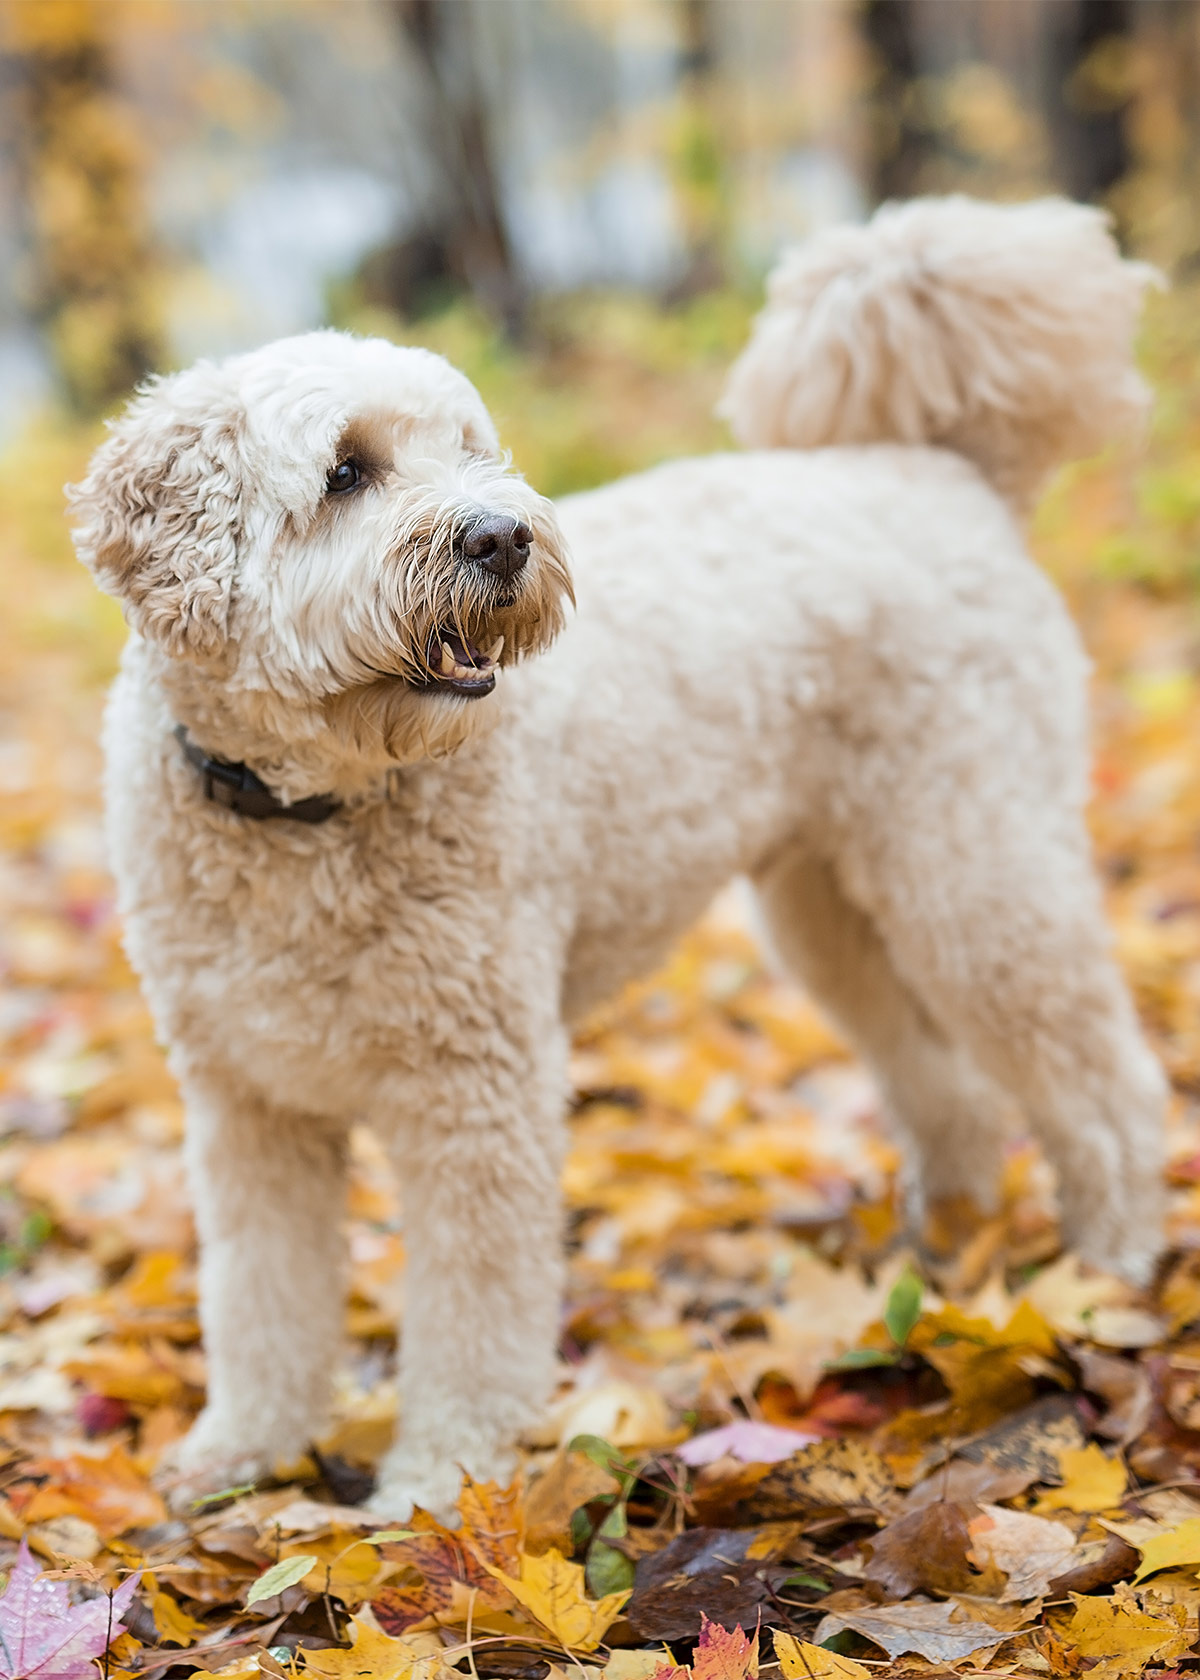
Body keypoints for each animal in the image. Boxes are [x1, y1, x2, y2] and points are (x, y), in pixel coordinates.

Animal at [72, 196, 1156, 1525]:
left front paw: (439, 1487)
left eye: (473, 449)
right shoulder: (246, 1107)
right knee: (947, 1086)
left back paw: (1109, 1267)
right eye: (346, 471)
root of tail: (946, 472)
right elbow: (260, 1301)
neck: (304, 813)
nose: (501, 535)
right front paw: (240, 1456)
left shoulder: (478, 1090)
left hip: (973, 868)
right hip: (833, 907)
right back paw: (945, 1247)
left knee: (1100, 1079)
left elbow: (474, 1313)